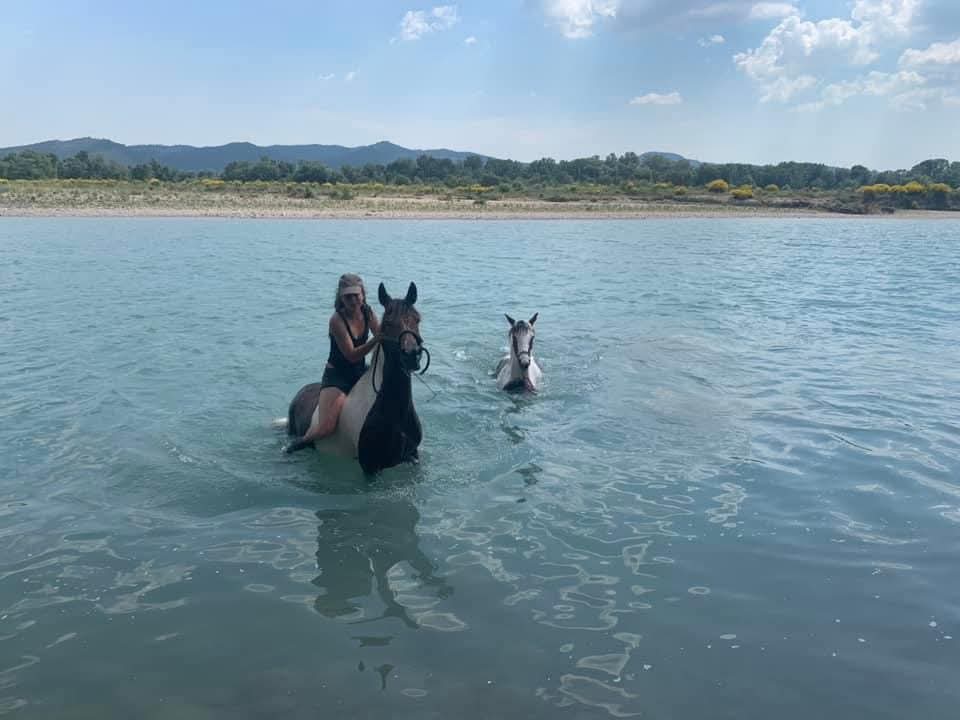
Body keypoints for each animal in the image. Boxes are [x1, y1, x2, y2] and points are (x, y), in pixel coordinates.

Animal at [285, 282, 428, 474]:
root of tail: (302, 391)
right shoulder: (370, 467)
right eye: (388, 323)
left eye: (417, 319)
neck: (395, 414)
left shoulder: (412, 455)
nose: (412, 356)